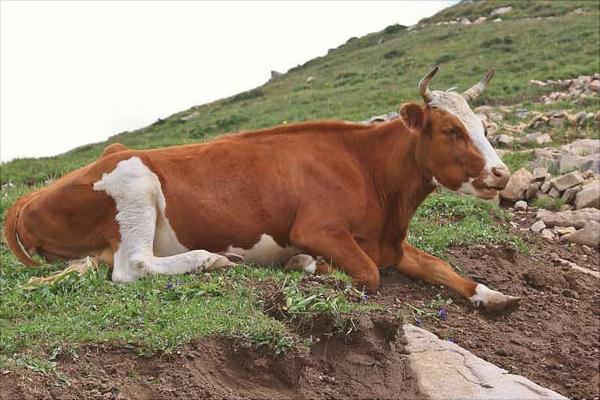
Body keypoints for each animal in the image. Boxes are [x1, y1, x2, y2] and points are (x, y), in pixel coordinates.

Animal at [2, 67, 516, 312]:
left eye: (483, 126)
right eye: (450, 130)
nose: (501, 174)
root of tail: (27, 198)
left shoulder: (389, 242)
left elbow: (440, 266)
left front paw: (492, 295)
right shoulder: (318, 230)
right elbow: (367, 274)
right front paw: (303, 265)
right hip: (134, 182)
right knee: (133, 266)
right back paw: (210, 260)